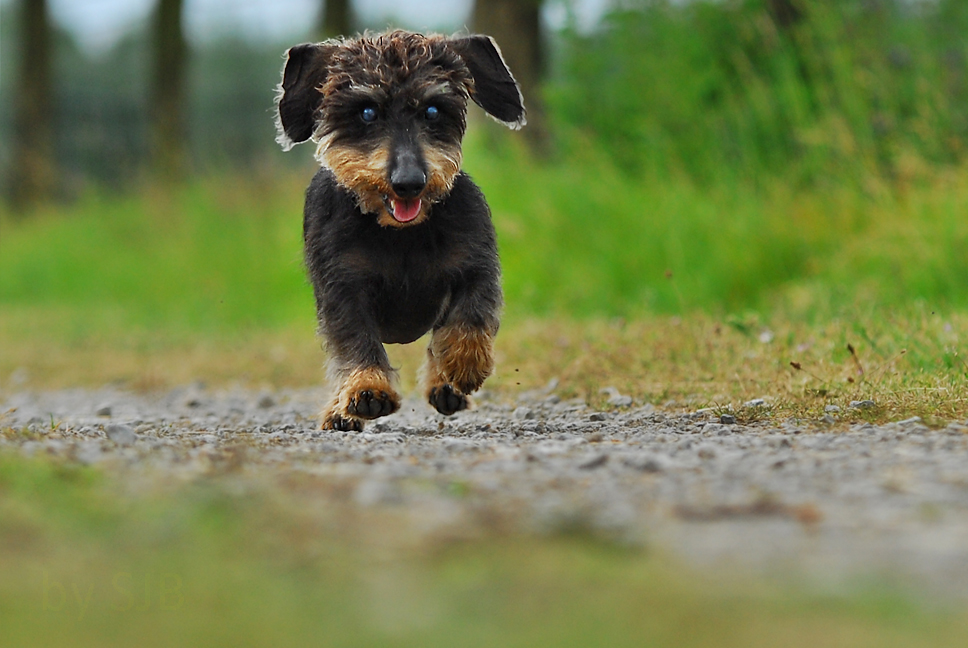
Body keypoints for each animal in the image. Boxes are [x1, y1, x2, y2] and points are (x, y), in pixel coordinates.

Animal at [272, 30, 528, 430]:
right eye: (367, 112)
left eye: (433, 111)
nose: (409, 182)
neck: (401, 235)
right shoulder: (342, 288)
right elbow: (354, 340)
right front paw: (366, 390)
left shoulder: (476, 264)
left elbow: (472, 312)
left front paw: (464, 363)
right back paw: (340, 412)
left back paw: (445, 385)